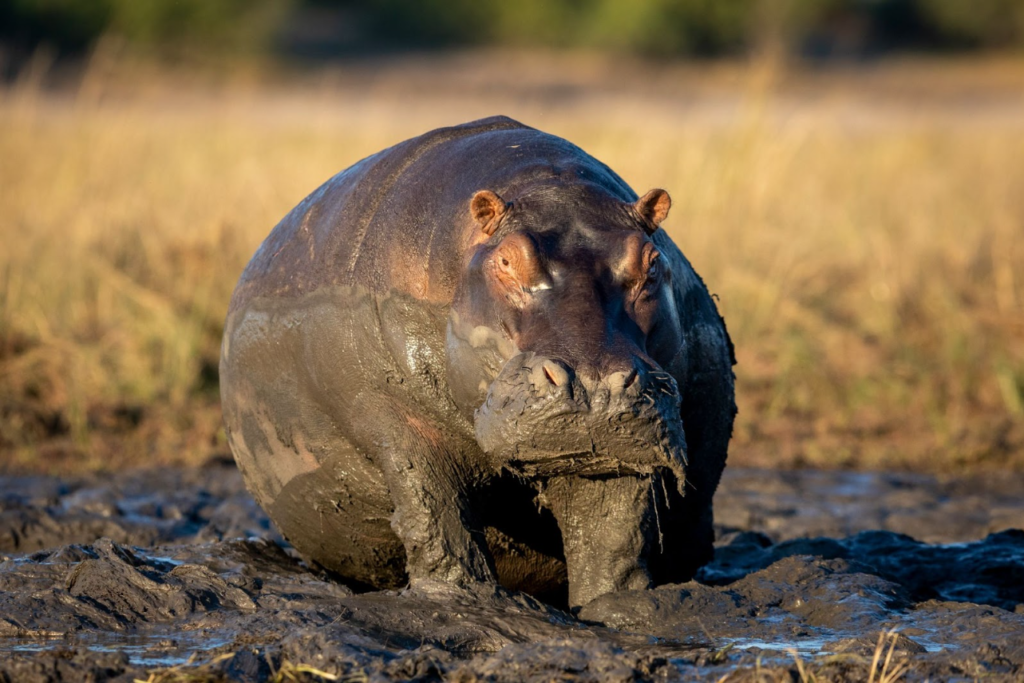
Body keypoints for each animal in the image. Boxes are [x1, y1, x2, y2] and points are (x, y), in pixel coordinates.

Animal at [222, 116, 737, 610]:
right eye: (506, 260)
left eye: (651, 261)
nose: (594, 388)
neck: (548, 186)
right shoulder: (391, 411)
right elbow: (434, 511)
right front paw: (460, 599)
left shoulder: (615, 450)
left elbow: (613, 533)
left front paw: (619, 608)